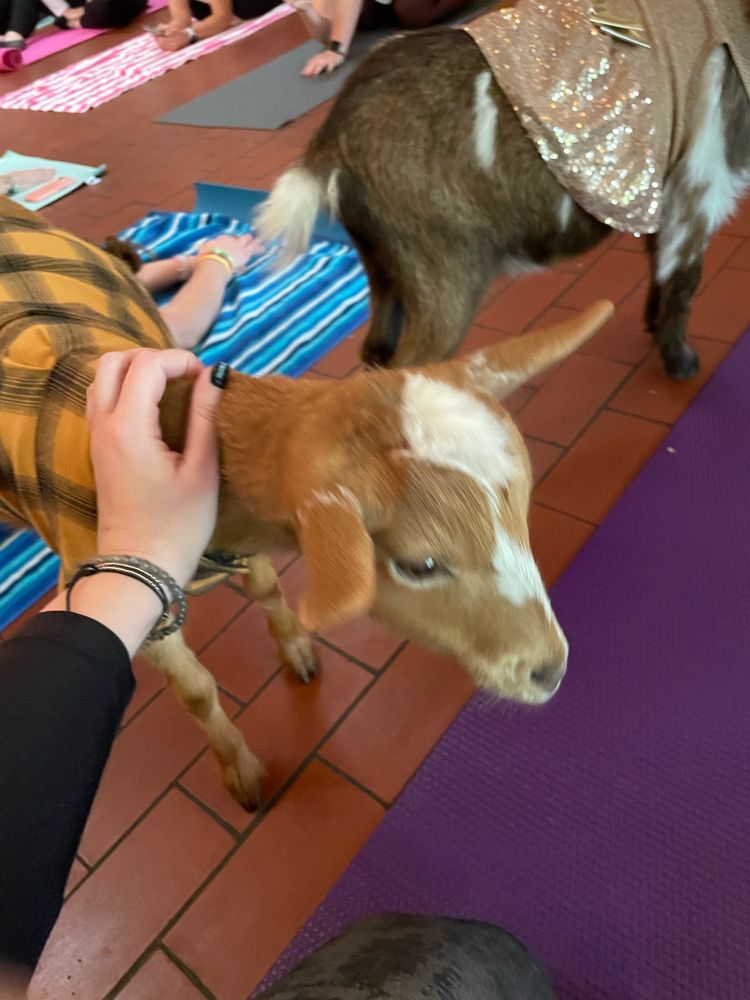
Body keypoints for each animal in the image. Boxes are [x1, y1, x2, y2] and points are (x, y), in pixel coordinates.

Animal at [0, 205, 613, 810]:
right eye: (420, 565)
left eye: (523, 513)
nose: (551, 670)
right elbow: (195, 690)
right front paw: (241, 772)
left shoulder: (246, 539)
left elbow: (268, 588)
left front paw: (296, 649)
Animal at [257, 0, 750, 381]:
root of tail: (332, 138)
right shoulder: (701, 179)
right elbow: (685, 278)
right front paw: (680, 362)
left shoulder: (663, 182)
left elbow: (658, 257)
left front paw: (652, 323)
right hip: (444, 275)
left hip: (382, 264)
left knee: (375, 349)